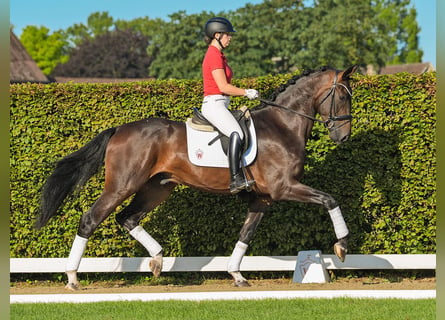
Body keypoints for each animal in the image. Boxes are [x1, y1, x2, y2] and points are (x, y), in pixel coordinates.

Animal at [35, 65, 358, 290]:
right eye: (343, 96)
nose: (343, 137)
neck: (282, 125)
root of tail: (119, 130)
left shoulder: (264, 199)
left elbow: (245, 235)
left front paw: (236, 274)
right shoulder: (284, 188)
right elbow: (330, 200)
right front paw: (342, 246)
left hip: (156, 188)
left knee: (127, 218)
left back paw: (157, 260)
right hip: (122, 185)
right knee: (90, 219)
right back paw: (72, 278)